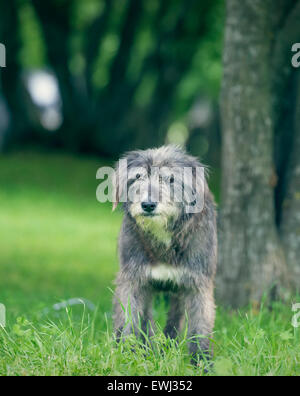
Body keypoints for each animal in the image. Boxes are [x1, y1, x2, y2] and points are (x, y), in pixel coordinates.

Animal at [111, 144, 217, 364]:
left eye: (171, 179)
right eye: (138, 177)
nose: (148, 205)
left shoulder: (197, 284)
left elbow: (200, 325)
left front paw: (202, 362)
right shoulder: (133, 280)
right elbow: (129, 319)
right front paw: (126, 356)